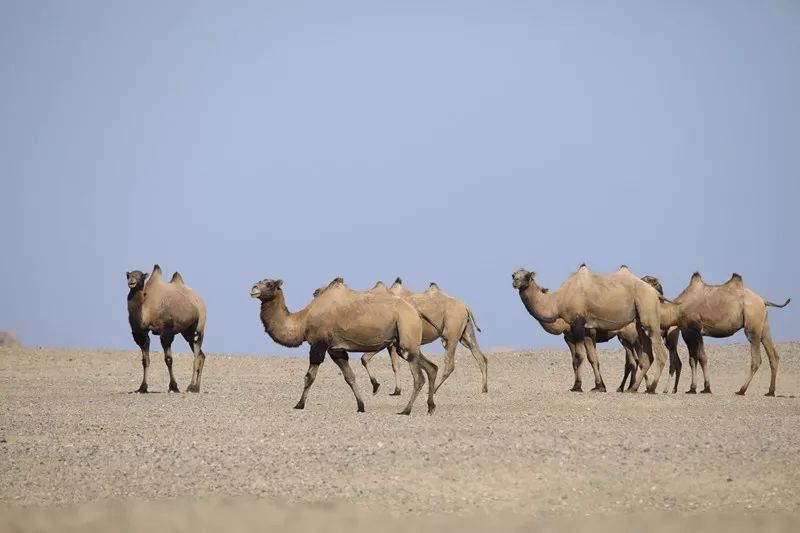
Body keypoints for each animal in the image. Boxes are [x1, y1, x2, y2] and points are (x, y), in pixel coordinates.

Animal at [125, 264, 206, 392]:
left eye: (140, 276)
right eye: (129, 275)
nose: (131, 281)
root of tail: (199, 299)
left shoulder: (166, 331)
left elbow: (168, 359)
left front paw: (174, 387)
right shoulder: (140, 333)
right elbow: (145, 360)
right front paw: (142, 387)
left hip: (199, 327)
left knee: (196, 356)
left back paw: (191, 387)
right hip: (187, 331)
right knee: (201, 355)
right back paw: (196, 387)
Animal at [252, 276, 440, 414]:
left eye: (269, 283)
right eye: (260, 281)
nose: (253, 289)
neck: (302, 320)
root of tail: (416, 311)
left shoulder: (319, 344)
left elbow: (309, 377)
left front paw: (299, 404)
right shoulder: (336, 349)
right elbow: (349, 377)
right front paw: (361, 406)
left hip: (406, 331)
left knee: (419, 377)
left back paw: (406, 410)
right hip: (406, 341)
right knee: (431, 367)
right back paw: (430, 407)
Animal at [358, 278, 488, 394]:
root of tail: (465, 306)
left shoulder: (388, 340)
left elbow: (365, 358)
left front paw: (381, 387)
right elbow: (393, 364)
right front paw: (396, 390)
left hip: (451, 334)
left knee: (449, 363)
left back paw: (433, 389)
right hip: (466, 333)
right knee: (480, 356)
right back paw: (484, 388)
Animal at [512, 264, 668, 392]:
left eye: (527, 276)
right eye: (513, 274)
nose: (515, 281)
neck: (558, 301)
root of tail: (655, 293)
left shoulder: (577, 324)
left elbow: (579, 357)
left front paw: (577, 386)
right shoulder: (586, 330)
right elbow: (592, 358)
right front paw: (599, 387)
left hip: (646, 314)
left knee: (656, 354)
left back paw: (650, 388)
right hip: (637, 325)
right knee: (644, 357)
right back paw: (633, 388)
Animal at [656, 272, 788, 392]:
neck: (675, 310)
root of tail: (763, 300)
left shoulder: (692, 331)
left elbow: (696, 359)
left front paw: (698, 388)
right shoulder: (694, 333)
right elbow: (698, 359)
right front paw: (700, 388)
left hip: (752, 324)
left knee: (756, 358)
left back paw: (742, 390)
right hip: (763, 324)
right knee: (773, 355)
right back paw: (770, 391)